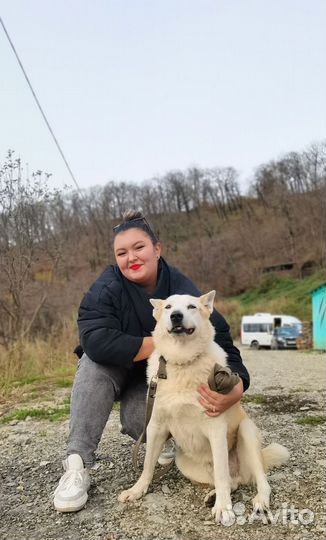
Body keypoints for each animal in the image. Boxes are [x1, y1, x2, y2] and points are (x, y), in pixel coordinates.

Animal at [118, 294, 290, 524]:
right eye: (169, 307)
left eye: (191, 306)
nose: (176, 316)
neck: (182, 362)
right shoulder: (155, 427)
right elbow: (147, 465)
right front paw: (137, 490)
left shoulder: (215, 428)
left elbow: (221, 473)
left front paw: (224, 508)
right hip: (183, 460)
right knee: (232, 481)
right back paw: (213, 496)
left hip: (246, 433)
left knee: (256, 479)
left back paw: (259, 500)